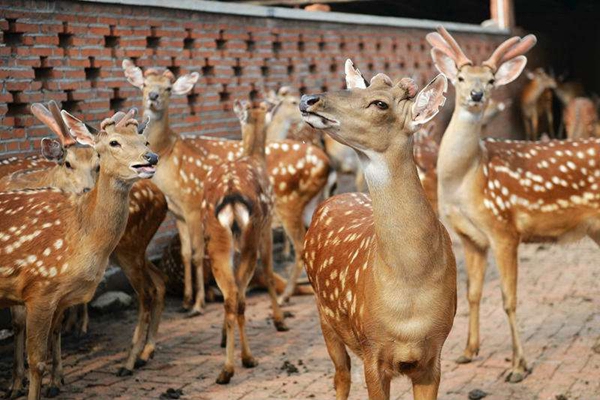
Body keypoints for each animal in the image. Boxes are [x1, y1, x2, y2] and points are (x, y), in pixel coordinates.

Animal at [121, 59, 328, 306]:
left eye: (168, 88)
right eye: (144, 84)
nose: (153, 96)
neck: (169, 154)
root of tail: (325, 162)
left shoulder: (192, 203)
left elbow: (198, 254)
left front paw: (197, 303)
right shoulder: (177, 211)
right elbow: (187, 253)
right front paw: (187, 300)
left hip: (289, 203)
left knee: (298, 247)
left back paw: (285, 295)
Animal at [202, 100, 288, 384]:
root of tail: (231, 197)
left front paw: (221, 336)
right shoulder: (268, 226)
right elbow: (270, 272)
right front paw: (280, 321)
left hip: (216, 241)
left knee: (230, 295)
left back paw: (225, 369)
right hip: (251, 235)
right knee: (239, 296)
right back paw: (246, 359)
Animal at [300, 59, 454, 400]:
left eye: (380, 103)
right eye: (359, 88)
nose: (307, 99)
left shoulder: (433, 354)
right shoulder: (371, 347)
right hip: (323, 314)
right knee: (341, 376)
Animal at [426, 25, 600, 382]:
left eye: (491, 80)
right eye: (461, 77)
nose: (477, 95)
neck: (466, 179)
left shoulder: (504, 229)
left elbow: (509, 299)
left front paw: (519, 366)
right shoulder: (470, 237)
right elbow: (472, 294)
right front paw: (468, 352)